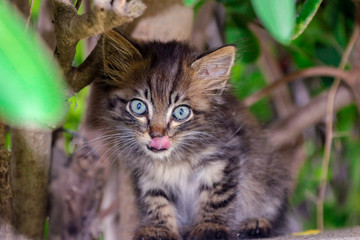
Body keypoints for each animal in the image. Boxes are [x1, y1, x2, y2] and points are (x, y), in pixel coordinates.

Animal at [85, 30, 292, 240]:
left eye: (181, 112)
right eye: (138, 107)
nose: (156, 135)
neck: (172, 160)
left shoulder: (224, 157)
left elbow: (217, 198)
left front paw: (210, 227)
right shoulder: (149, 175)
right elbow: (156, 202)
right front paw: (159, 229)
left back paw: (255, 223)